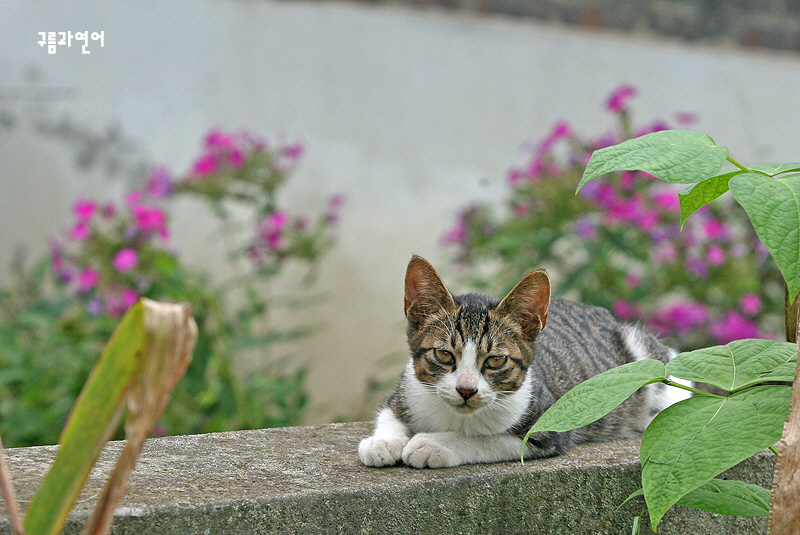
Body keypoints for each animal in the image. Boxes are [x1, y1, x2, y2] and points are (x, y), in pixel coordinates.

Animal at [358, 255, 688, 468]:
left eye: (495, 360)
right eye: (444, 355)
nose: (466, 390)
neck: (455, 415)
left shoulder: (549, 426)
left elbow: (487, 439)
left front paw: (434, 444)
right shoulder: (405, 390)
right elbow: (388, 414)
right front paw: (382, 442)